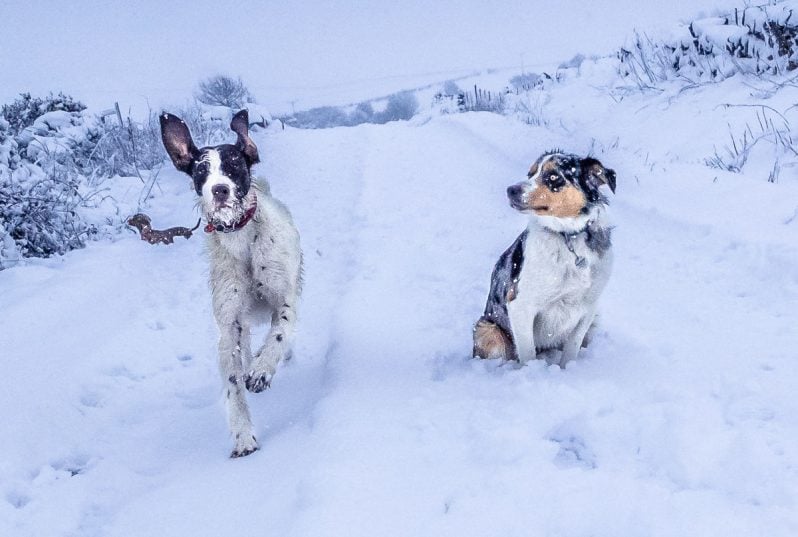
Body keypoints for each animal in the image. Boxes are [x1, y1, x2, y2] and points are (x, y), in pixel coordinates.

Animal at [160, 109, 304, 456]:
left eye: (234, 164)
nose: (219, 190)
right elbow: (233, 385)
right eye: (201, 170)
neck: (243, 240)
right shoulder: (230, 326)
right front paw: (243, 437)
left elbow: (280, 332)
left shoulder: (285, 298)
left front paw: (263, 370)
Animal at [476, 151, 620, 368]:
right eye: (530, 173)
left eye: (553, 176)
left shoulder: (588, 308)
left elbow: (571, 350)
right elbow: (527, 353)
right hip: (487, 330)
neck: (568, 237)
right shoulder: (520, 304)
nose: (511, 190)